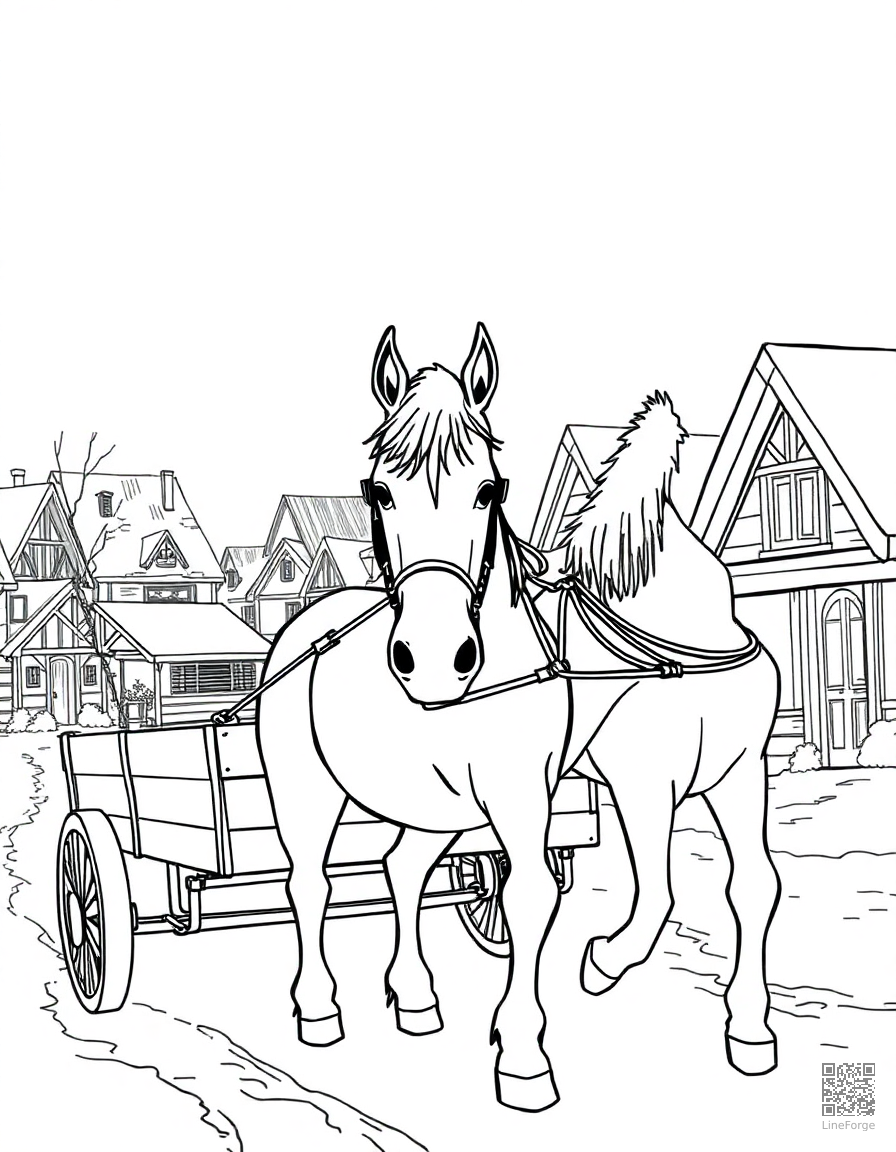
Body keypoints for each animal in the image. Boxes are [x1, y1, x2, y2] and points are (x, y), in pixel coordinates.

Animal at [256, 323, 781, 1112]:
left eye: (488, 489)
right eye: (379, 491)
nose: (432, 658)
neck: (686, 644)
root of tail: (303, 626)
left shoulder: (739, 773)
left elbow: (753, 885)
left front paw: (749, 1030)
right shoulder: (629, 781)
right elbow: (618, 894)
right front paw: (543, 1034)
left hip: (436, 805)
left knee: (402, 868)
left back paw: (416, 997)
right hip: (304, 791)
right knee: (309, 885)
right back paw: (319, 1010)